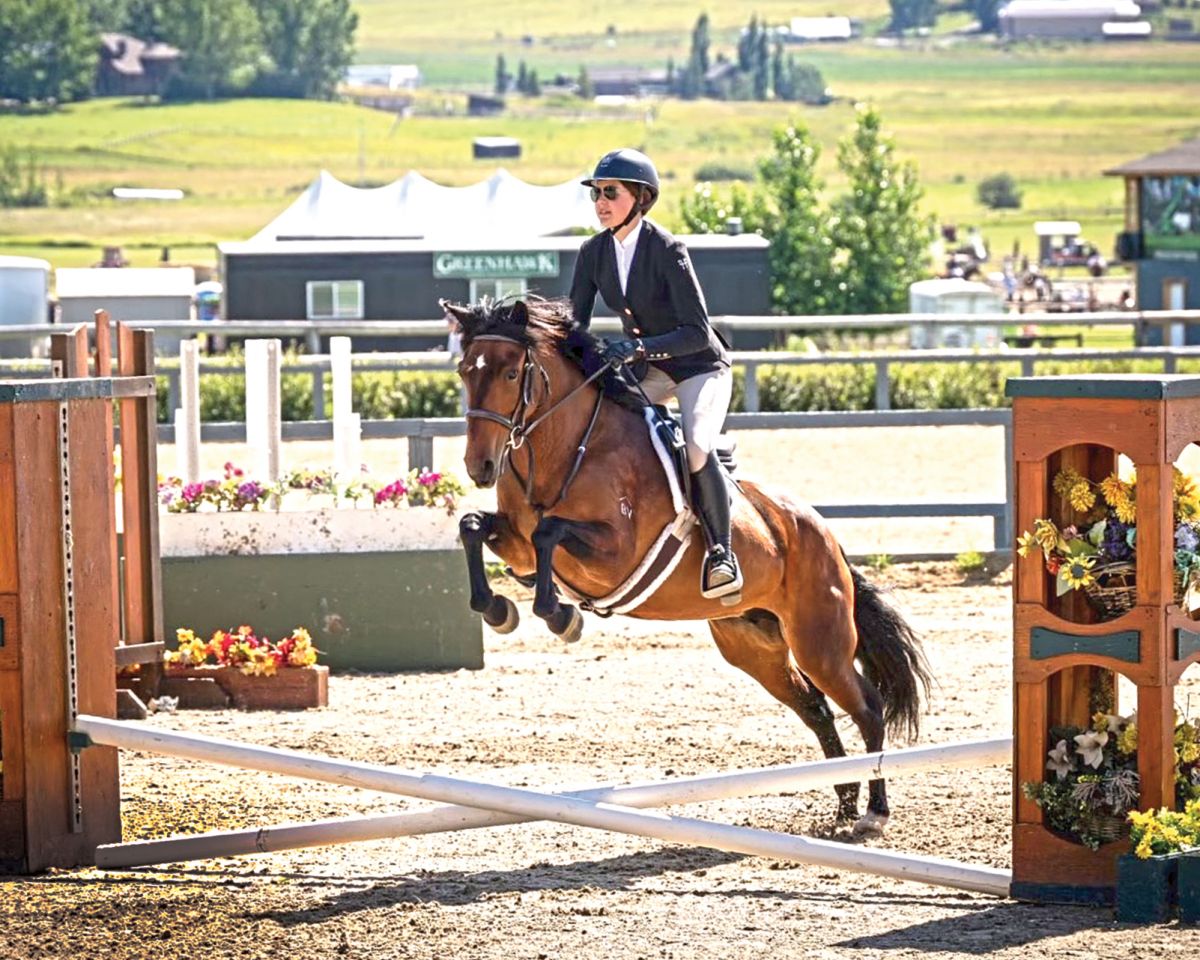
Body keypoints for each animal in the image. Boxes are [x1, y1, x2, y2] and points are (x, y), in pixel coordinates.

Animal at [443, 296, 932, 835]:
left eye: (511, 373)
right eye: (465, 371)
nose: (480, 468)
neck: (561, 450)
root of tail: (823, 534)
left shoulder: (614, 553)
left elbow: (549, 533)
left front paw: (559, 615)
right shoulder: (517, 543)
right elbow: (473, 526)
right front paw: (499, 610)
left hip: (818, 641)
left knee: (867, 707)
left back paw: (873, 813)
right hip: (754, 646)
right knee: (816, 708)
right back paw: (842, 804)